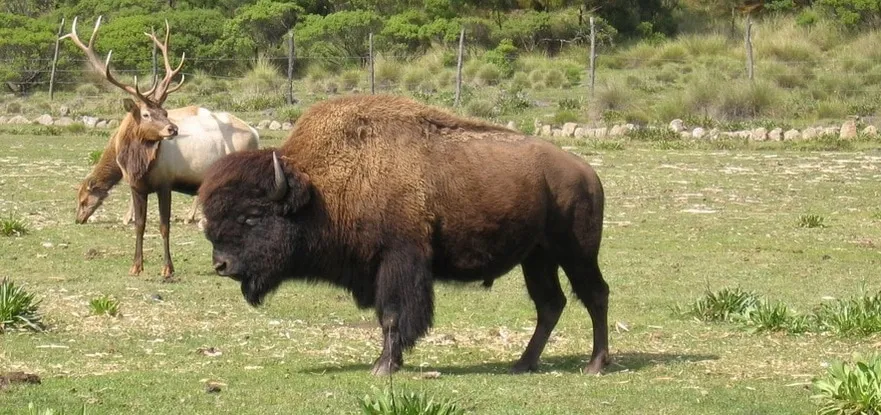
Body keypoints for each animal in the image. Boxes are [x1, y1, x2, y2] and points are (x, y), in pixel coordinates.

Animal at [65, 17, 260, 282]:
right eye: (147, 114)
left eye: (165, 111)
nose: (78, 218)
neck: (131, 163)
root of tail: (256, 134)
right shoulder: (136, 187)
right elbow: (140, 224)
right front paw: (136, 266)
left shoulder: (165, 183)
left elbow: (164, 225)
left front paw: (167, 268)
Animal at [199, 94, 608, 376]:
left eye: (252, 216)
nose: (222, 264)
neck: (321, 189)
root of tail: (586, 172)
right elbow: (387, 317)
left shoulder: (398, 261)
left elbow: (393, 316)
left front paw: (383, 367)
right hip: (537, 258)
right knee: (550, 304)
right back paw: (523, 363)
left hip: (576, 254)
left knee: (595, 295)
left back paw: (595, 365)